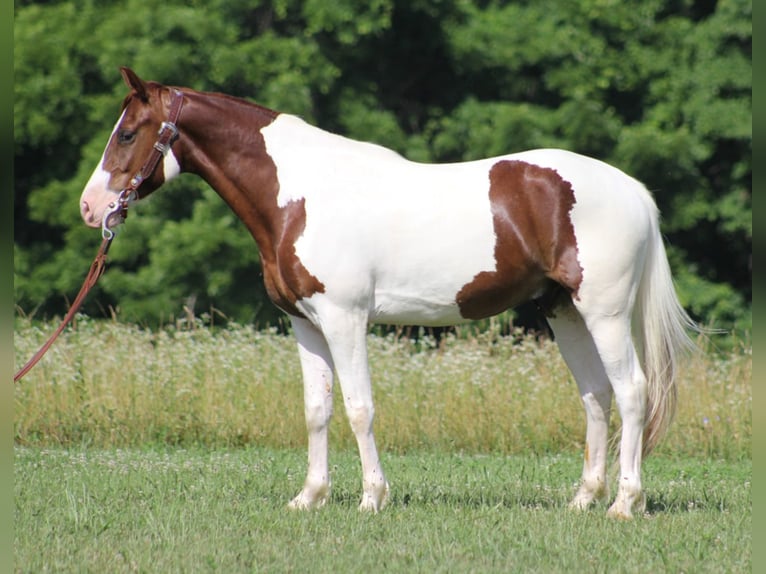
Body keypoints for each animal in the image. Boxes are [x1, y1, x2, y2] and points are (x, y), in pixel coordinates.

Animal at [81, 68, 700, 520]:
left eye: (128, 133)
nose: (91, 209)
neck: (300, 195)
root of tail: (632, 190)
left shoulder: (345, 318)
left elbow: (360, 408)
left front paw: (371, 498)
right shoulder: (305, 323)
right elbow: (317, 409)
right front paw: (309, 497)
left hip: (605, 313)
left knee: (632, 391)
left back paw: (625, 503)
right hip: (563, 311)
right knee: (596, 395)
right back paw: (583, 500)